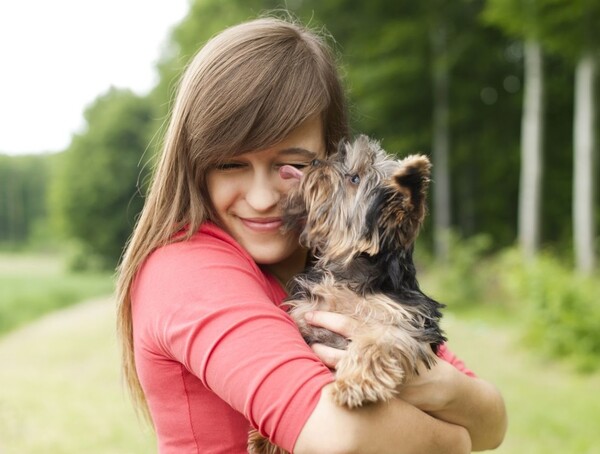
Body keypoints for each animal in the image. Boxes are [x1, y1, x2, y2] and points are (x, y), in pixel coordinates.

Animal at [247, 135, 446, 454]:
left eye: (354, 179)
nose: (316, 162)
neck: (349, 271)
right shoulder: (306, 314)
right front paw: (264, 437)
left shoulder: (405, 321)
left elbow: (376, 342)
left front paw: (355, 383)